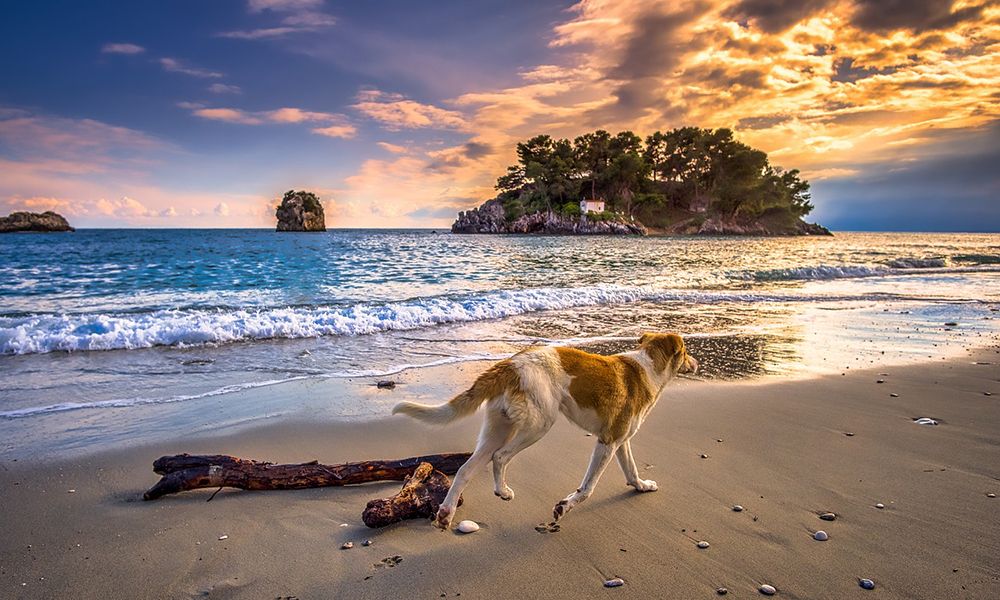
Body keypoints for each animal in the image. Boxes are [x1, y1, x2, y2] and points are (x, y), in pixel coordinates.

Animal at [390, 332, 696, 528]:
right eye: (686, 351)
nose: (695, 363)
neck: (648, 367)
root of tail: (510, 363)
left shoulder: (620, 441)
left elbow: (631, 471)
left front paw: (642, 487)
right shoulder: (607, 442)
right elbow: (588, 489)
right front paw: (564, 507)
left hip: (498, 429)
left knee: (466, 469)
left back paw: (446, 514)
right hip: (539, 425)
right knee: (500, 457)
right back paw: (502, 492)